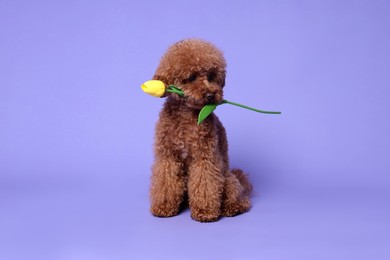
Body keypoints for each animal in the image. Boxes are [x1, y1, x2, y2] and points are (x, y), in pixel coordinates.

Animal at [148, 38, 251, 221]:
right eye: (191, 77)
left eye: (211, 76)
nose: (211, 95)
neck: (186, 115)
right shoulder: (168, 156)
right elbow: (166, 182)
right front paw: (164, 207)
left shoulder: (205, 157)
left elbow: (205, 184)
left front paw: (205, 211)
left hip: (227, 178)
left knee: (239, 198)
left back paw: (232, 207)